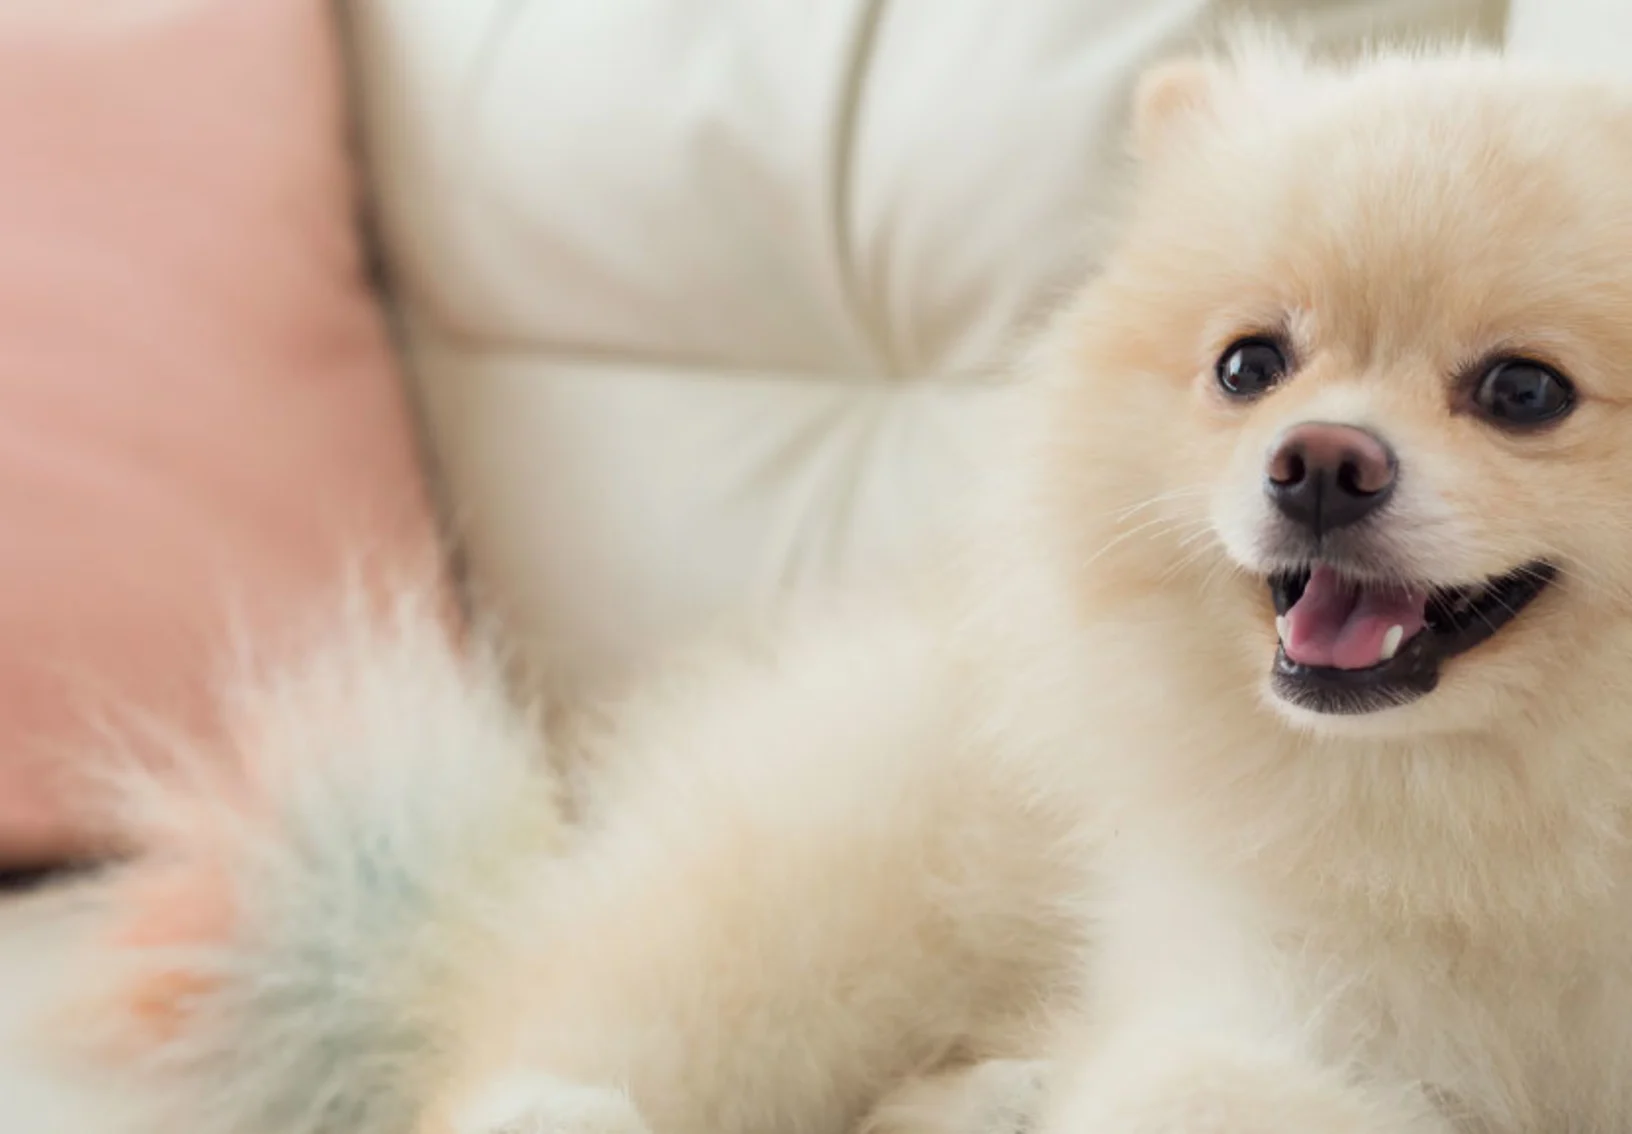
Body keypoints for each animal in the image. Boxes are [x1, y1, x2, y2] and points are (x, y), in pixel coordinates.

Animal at [76, 35, 1632, 1134]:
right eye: (1251, 365)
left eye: (1525, 391)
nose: (1317, 463)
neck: (1479, 814)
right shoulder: (1249, 980)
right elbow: (1214, 1083)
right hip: (823, 883)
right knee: (566, 1026)